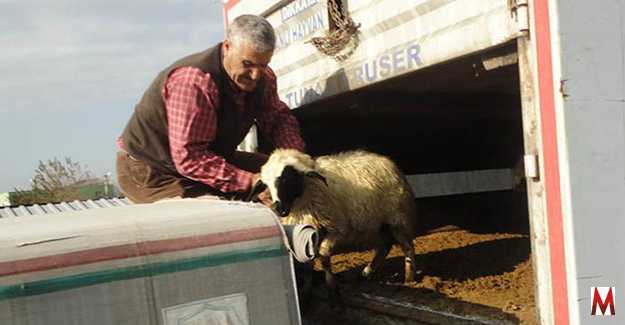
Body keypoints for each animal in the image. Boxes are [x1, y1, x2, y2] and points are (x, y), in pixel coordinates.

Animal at [246, 148, 422, 306]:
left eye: (288, 179)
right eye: (267, 185)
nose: (278, 209)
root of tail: (386, 160)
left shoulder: (335, 230)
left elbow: (324, 258)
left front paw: (333, 291)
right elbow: (308, 265)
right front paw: (306, 293)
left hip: (398, 219)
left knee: (407, 247)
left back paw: (409, 277)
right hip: (375, 225)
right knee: (385, 247)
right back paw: (367, 272)